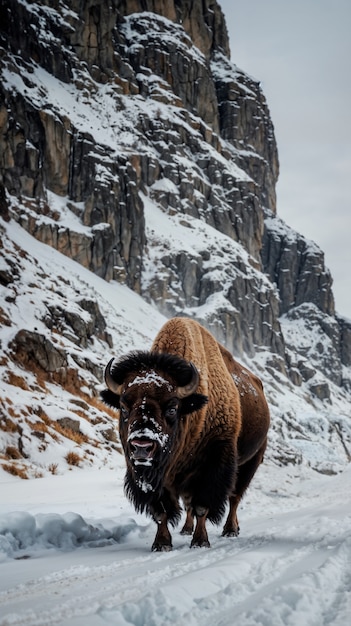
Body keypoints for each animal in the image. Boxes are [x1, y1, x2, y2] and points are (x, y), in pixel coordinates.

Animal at [100, 320, 270, 548]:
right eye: (124, 407)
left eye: (172, 408)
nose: (142, 446)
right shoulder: (155, 478)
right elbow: (162, 512)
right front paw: (162, 543)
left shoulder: (212, 466)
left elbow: (202, 507)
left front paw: (200, 541)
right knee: (191, 503)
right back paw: (186, 529)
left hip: (250, 461)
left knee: (234, 497)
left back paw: (230, 530)